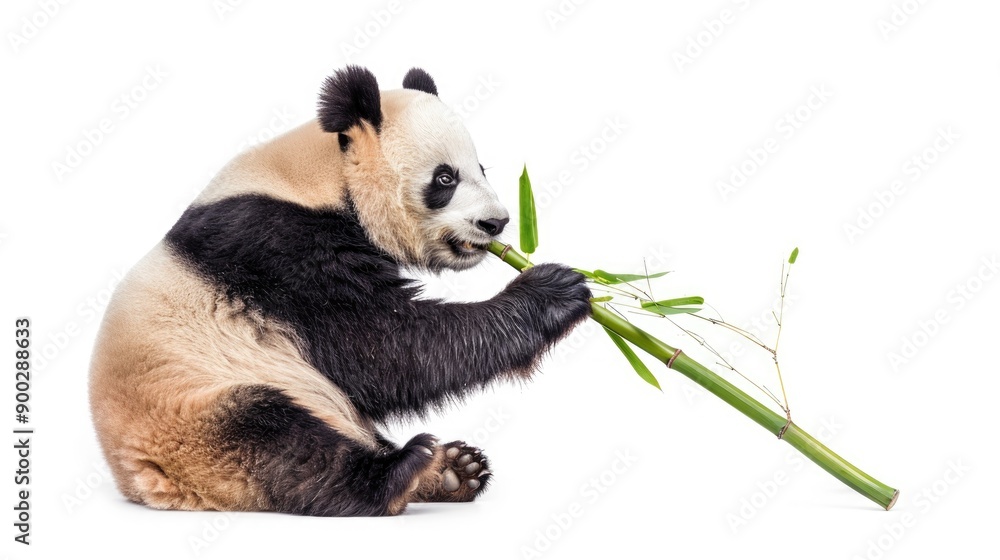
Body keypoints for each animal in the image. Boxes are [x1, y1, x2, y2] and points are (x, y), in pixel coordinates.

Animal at [88, 66, 592, 516]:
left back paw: (454, 468)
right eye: (445, 179)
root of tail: (138, 481)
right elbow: (384, 347)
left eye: (481, 168)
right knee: (283, 443)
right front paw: (553, 290)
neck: (317, 175)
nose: (497, 223)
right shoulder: (278, 250)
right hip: (193, 413)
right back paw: (402, 473)